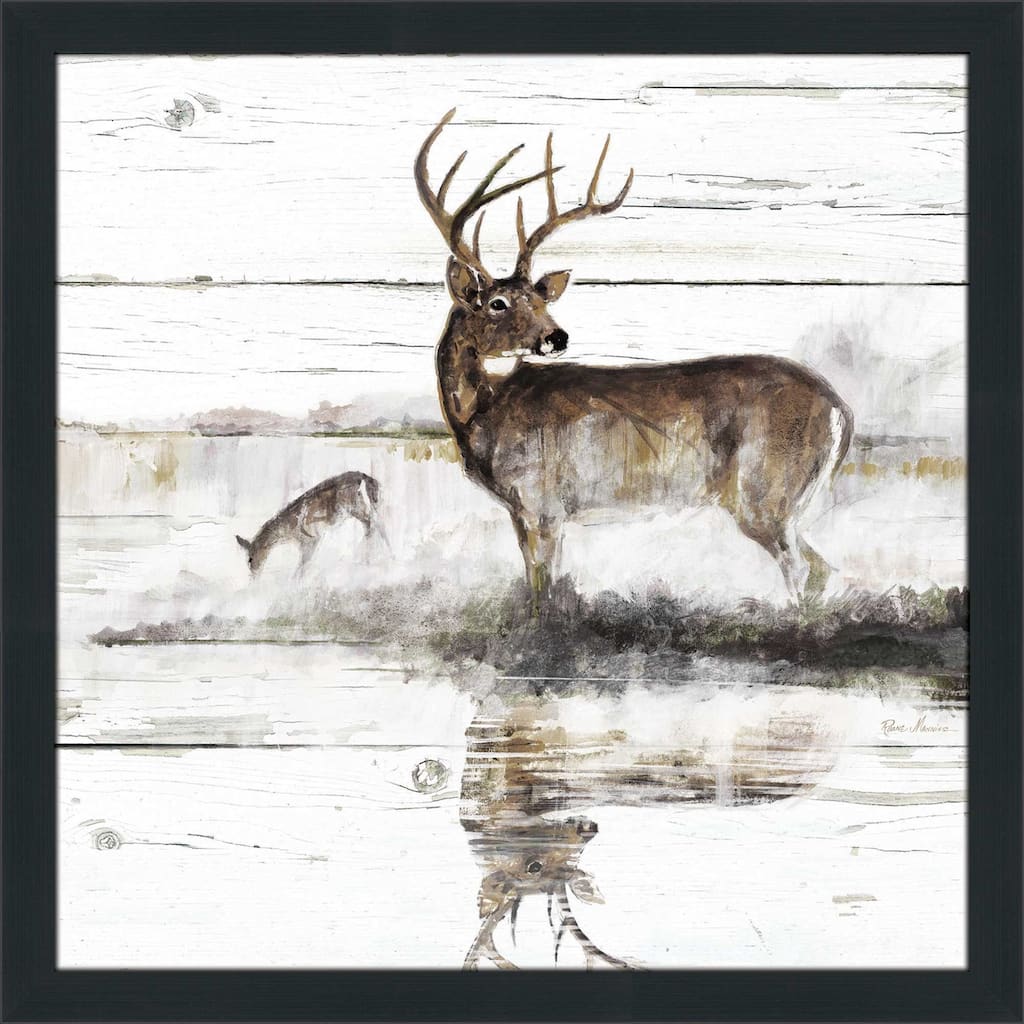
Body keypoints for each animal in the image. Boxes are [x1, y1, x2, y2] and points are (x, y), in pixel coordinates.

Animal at [235, 471, 386, 574]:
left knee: (372, 524)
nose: (253, 574)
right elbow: (303, 564)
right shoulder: (305, 543)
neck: (288, 532)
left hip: (355, 507)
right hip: (367, 505)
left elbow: (302, 566)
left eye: (250, 558)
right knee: (378, 523)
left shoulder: (312, 538)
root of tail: (362, 475)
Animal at [415, 110, 854, 617]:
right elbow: (539, 581)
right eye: (498, 303)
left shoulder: (542, 502)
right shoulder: (525, 511)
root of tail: (840, 408)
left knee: (803, 569)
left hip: (765, 490)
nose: (556, 336)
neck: (483, 415)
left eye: (539, 300)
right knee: (821, 570)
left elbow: (544, 587)